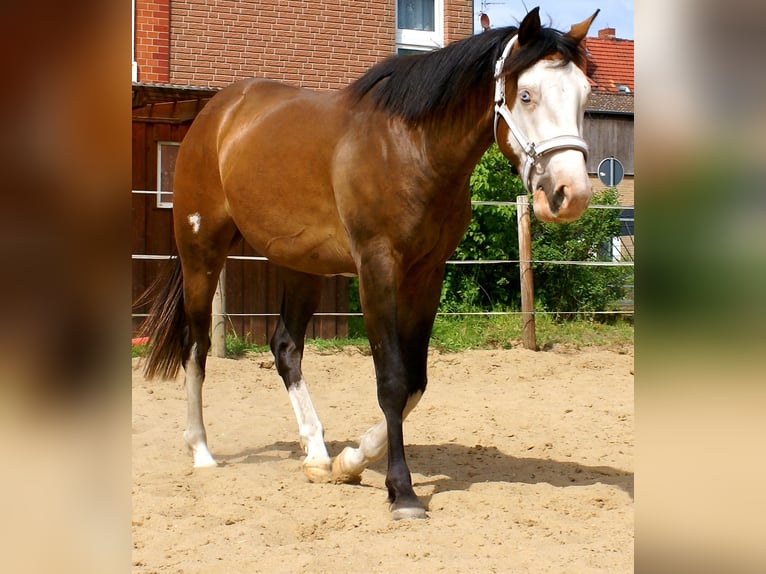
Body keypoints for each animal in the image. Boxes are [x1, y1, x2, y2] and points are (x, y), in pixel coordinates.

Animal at [137, 7, 599, 520]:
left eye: (584, 95)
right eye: (526, 94)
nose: (571, 194)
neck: (410, 147)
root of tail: (216, 113)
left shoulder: (426, 274)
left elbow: (415, 381)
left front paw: (350, 461)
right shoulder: (377, 269)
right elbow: (393, 380)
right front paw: (403, 491)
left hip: (302, 265)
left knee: (285, 348)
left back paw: (317, 455)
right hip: (202, 251)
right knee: (195, 344)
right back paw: (201, 450)